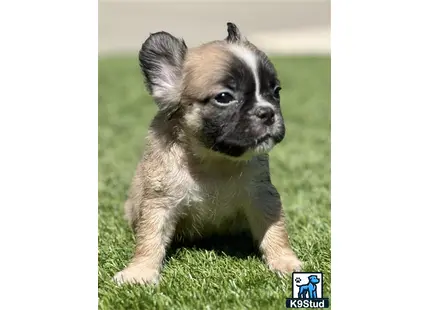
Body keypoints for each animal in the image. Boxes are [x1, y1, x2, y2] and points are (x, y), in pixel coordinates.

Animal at [114, 21, 302, 284]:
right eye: (224, 98)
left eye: (276, 92)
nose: (268, 112)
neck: (214, 161)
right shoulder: (159, 203)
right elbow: (150, 238)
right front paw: (140, 271)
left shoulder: (262, 197)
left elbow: (275, 230)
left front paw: (285, 261)